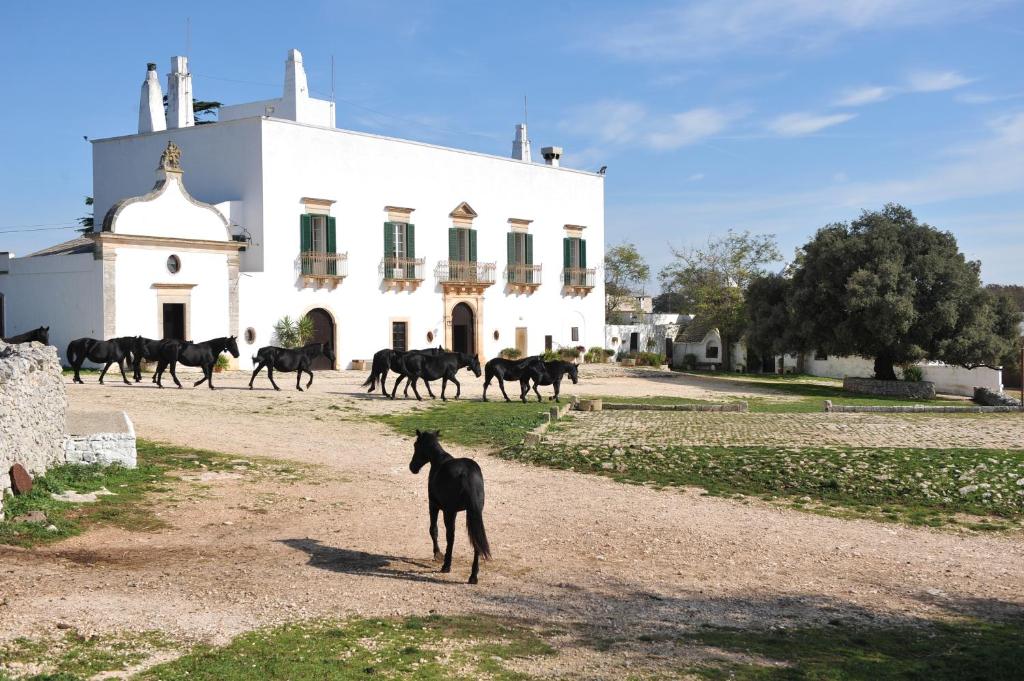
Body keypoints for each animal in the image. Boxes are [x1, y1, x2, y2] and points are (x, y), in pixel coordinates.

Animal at [405, 430, 489, 585]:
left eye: (415, 445)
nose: (412, 467)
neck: (438, 460)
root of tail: (467, 473)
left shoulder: (433, 505)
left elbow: (433, 530)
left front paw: (437, 554)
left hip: (450, 512)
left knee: (451, 536)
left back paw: (446, 565)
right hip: (473, 513)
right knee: (475, 541)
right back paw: (473, 576)